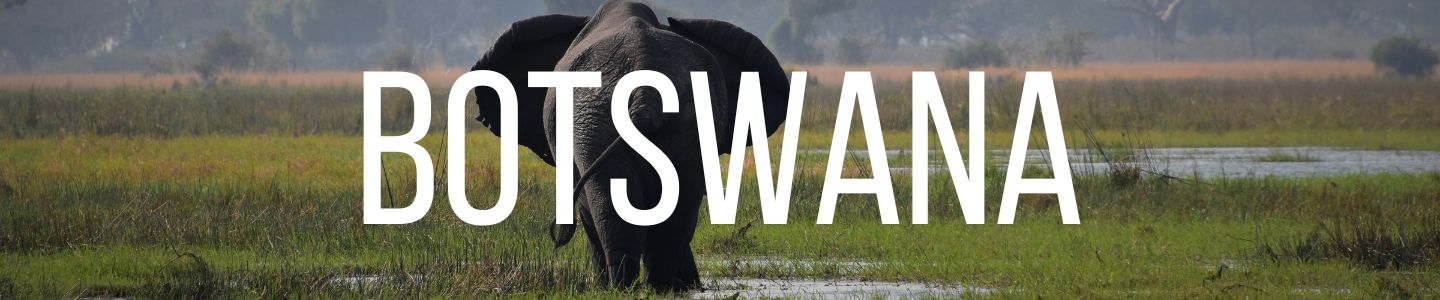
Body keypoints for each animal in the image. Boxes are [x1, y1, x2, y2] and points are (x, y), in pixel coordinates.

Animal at [469, 0, 789, 291]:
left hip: (595, 122)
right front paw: (688, 285)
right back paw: (657, 287)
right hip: (679, 123)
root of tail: (646, 94)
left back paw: (622, 287)